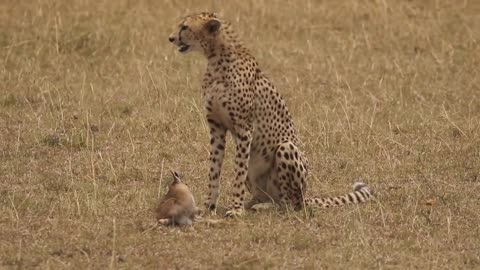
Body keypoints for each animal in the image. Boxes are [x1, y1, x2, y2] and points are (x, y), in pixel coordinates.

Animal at [169, 12, 376, 217]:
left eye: (185, 27)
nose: (171, 38)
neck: (216, 58)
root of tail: (306, 196)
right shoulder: (216, 126)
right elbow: (214, 168)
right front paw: (208, 206)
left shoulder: (244, 128)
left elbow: (238, 171)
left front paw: (235, 209)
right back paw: (253, 203)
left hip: (286, 150)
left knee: (289, 204)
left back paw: (264, 207)